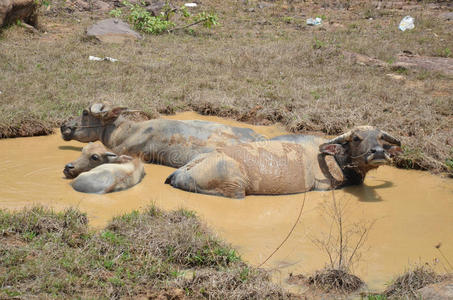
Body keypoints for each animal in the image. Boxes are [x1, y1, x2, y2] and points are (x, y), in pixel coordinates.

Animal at [165, 126, 402, 198]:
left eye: (381, 138)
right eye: (356, 138)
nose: (378, 152)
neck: (336, 159)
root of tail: (181, 172)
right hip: (235, 188)